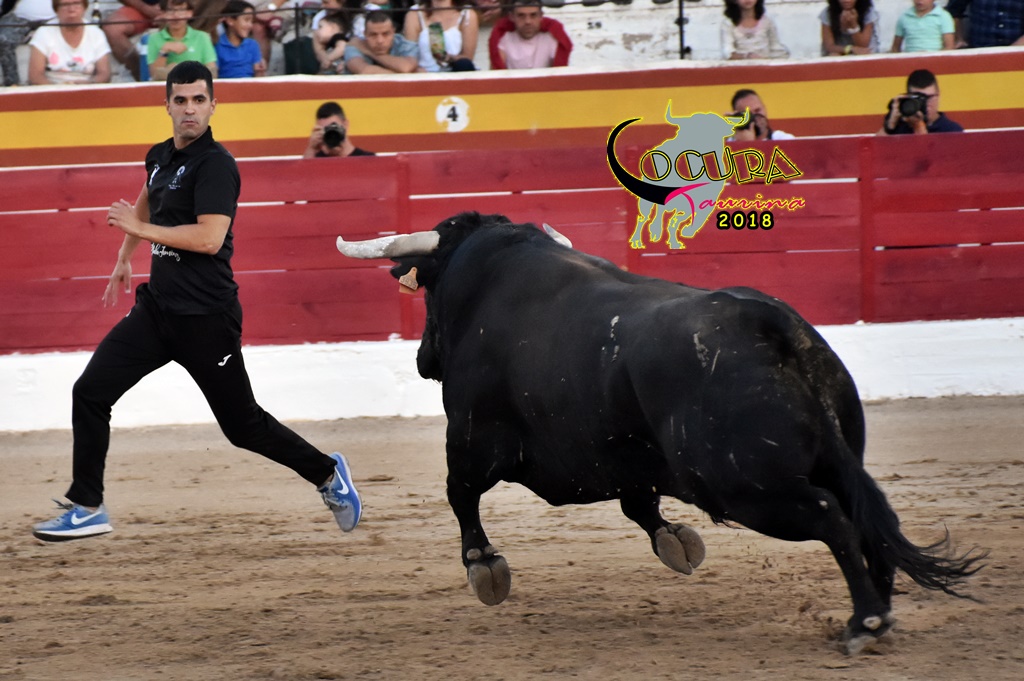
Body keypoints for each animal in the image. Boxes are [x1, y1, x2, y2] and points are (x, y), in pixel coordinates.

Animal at [335, 212, 984, 654]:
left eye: (426, 293)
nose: (424, 358)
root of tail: (766, 322)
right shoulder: (619, 454)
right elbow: (637, 501)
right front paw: (675, 540)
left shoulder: (472, 438)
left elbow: (459, 494)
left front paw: (485, 566)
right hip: (830, 459)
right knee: (867, 519)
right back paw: (882, 609)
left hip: (746, 488)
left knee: (833, 518)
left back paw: (864, 621)